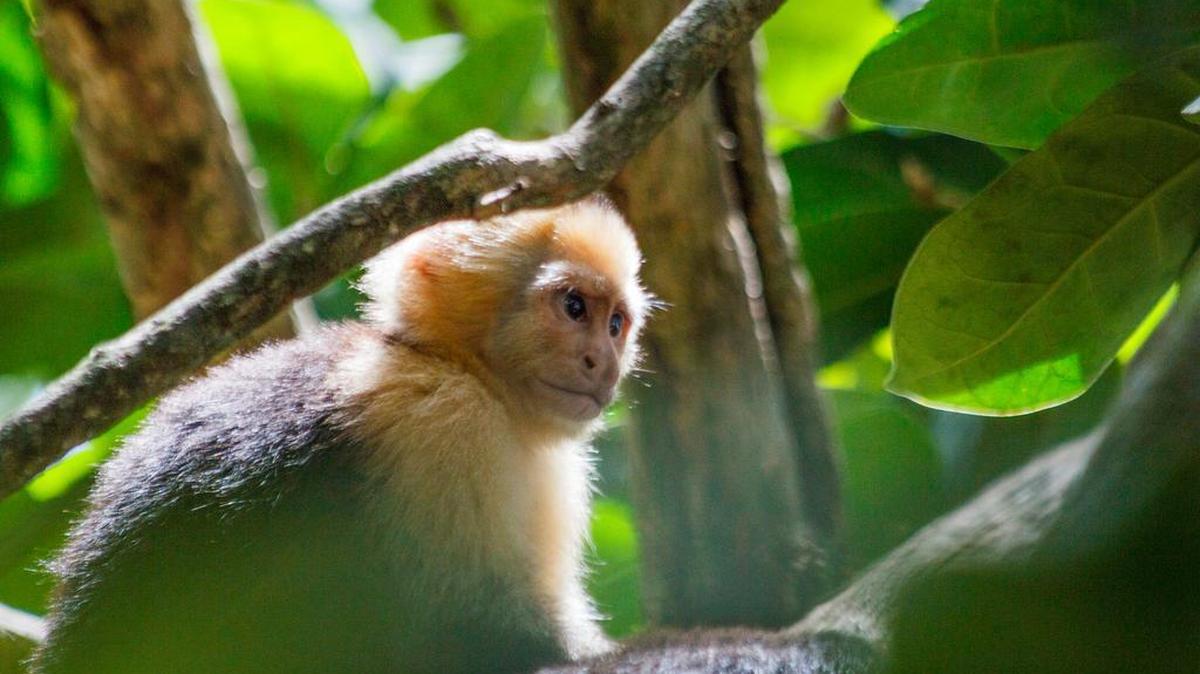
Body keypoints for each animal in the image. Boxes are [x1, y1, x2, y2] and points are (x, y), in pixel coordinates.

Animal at [32, 199, 649, 674]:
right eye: (574, 307)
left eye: (616, 324)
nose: (604, 363)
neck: (456, 367)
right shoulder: (443, 421)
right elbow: (473, 634)